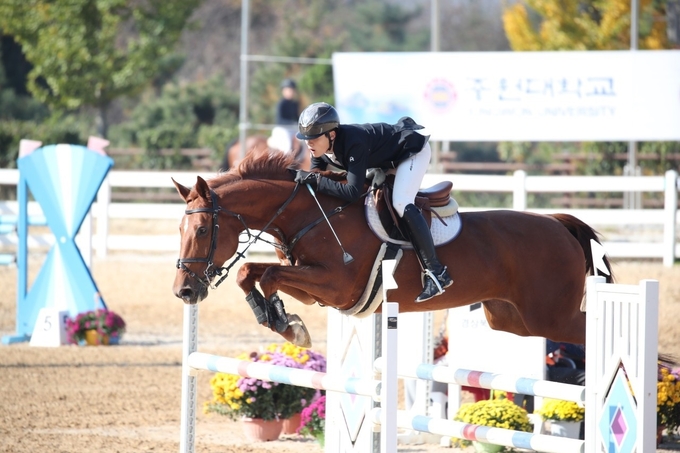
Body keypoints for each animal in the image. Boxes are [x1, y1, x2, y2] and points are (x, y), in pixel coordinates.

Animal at [173, 148, 612, 346]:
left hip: (551, 318)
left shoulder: (337, 286)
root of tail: (558, 224)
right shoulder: (317, 289)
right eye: (180, 228)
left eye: (201, 229)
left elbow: (268, 276)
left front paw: (287, 323)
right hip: (512, 320)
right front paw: (278, 319)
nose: (184, 291)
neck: (313, 211)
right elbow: (253, 273)